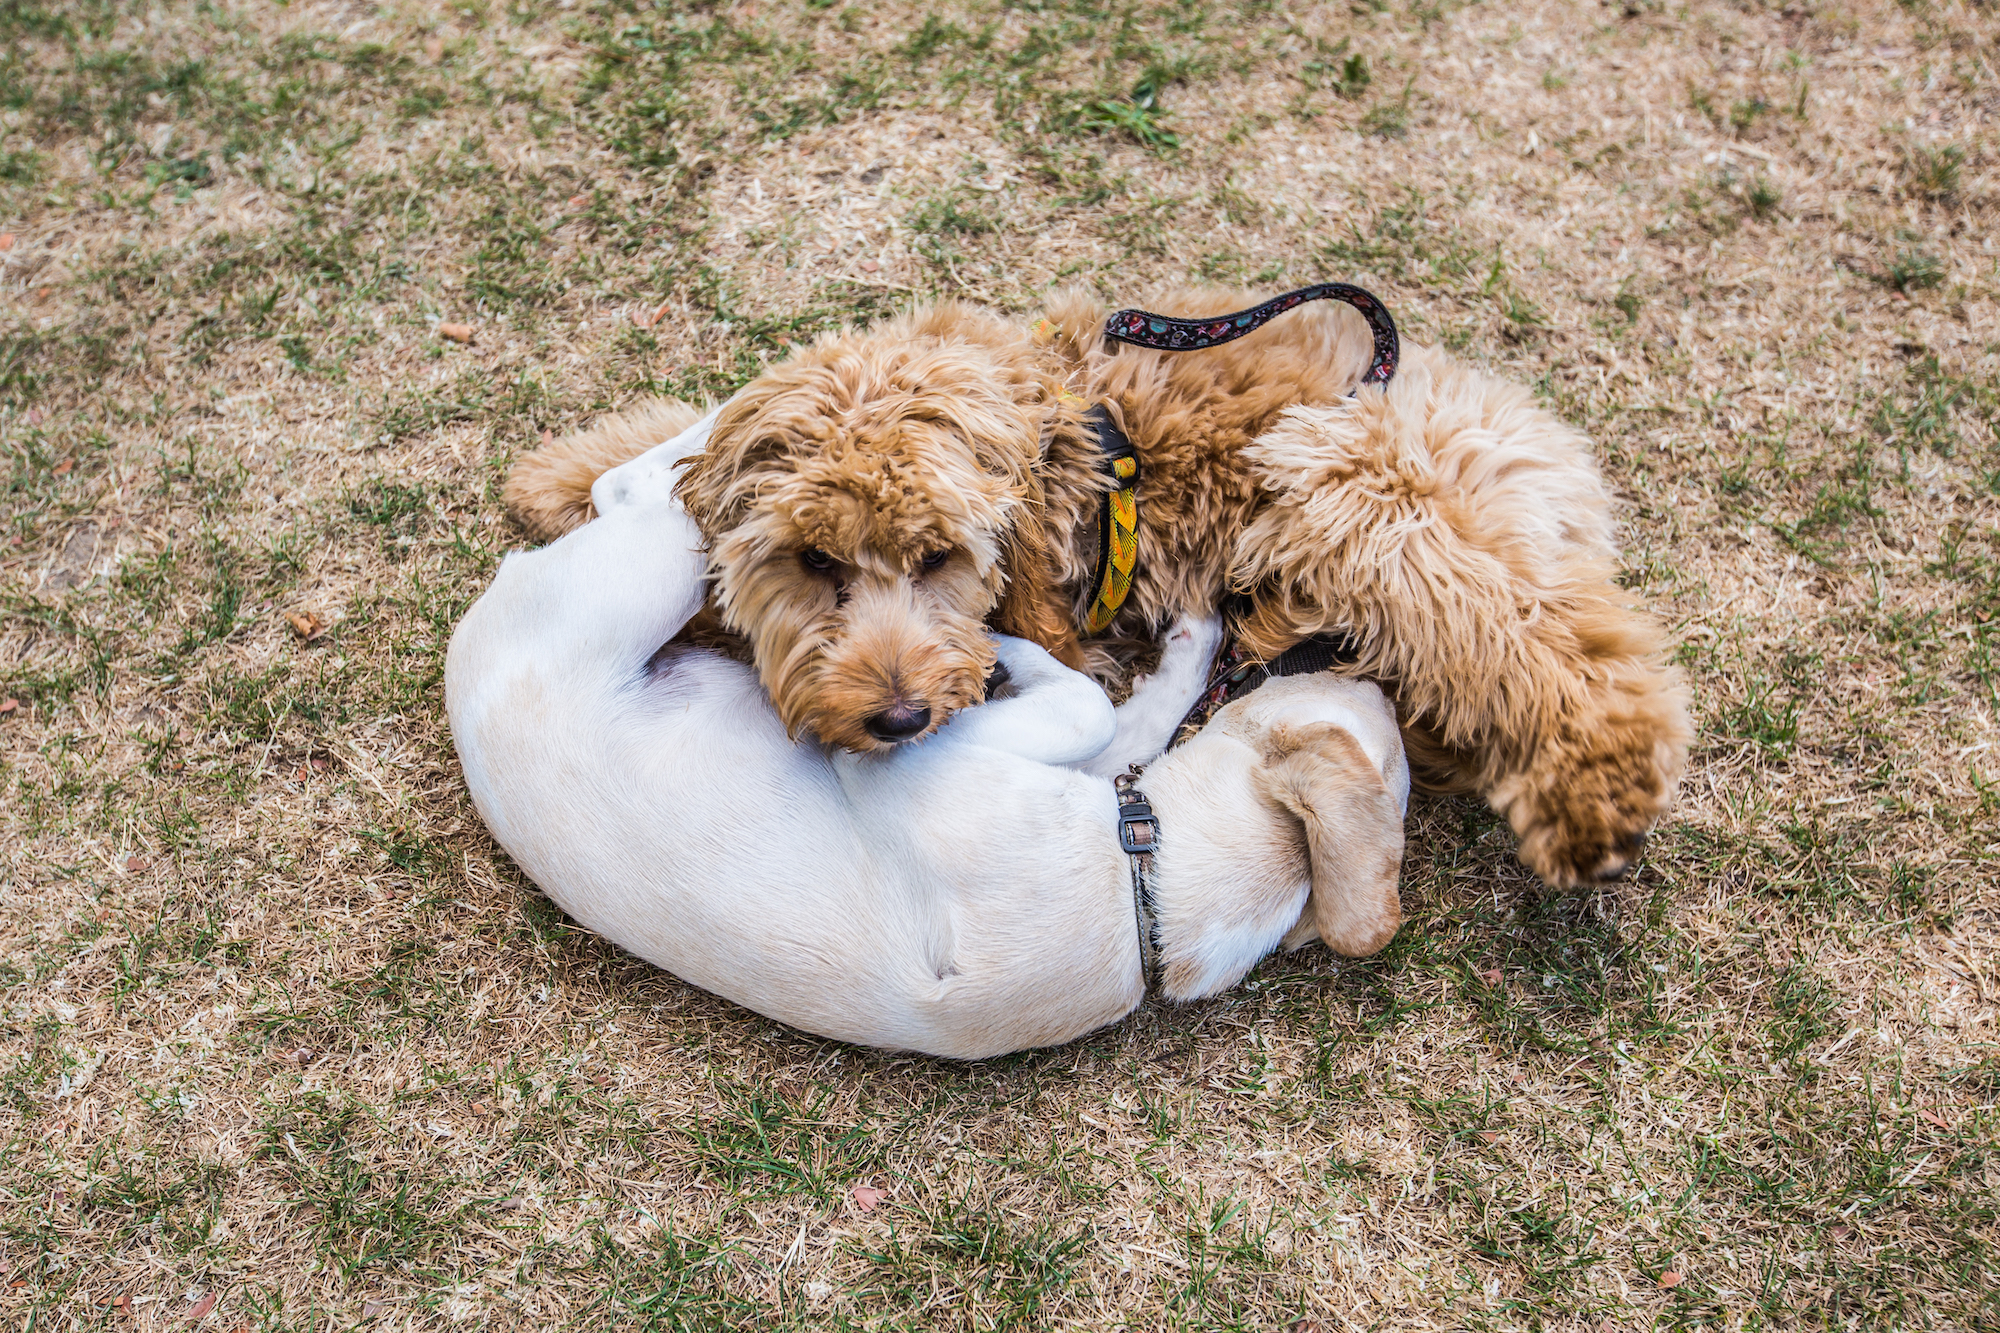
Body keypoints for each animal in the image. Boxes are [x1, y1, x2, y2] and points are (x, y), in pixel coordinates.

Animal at [446, 410, 1416, 1056]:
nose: (1354, 657)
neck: (1145, 888)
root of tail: (467, 653)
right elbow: (1126, 703)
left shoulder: (907, 762)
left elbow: (1100, 705)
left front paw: (1006, 648)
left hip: (644, 574)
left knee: (638, 490)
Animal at [512, 292, 1688, 892]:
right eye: (812, 561)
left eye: (939, 558)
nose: (899, 717)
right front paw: (562, 476)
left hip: (1361, 494)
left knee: (1558, 647)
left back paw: (1597, 802)